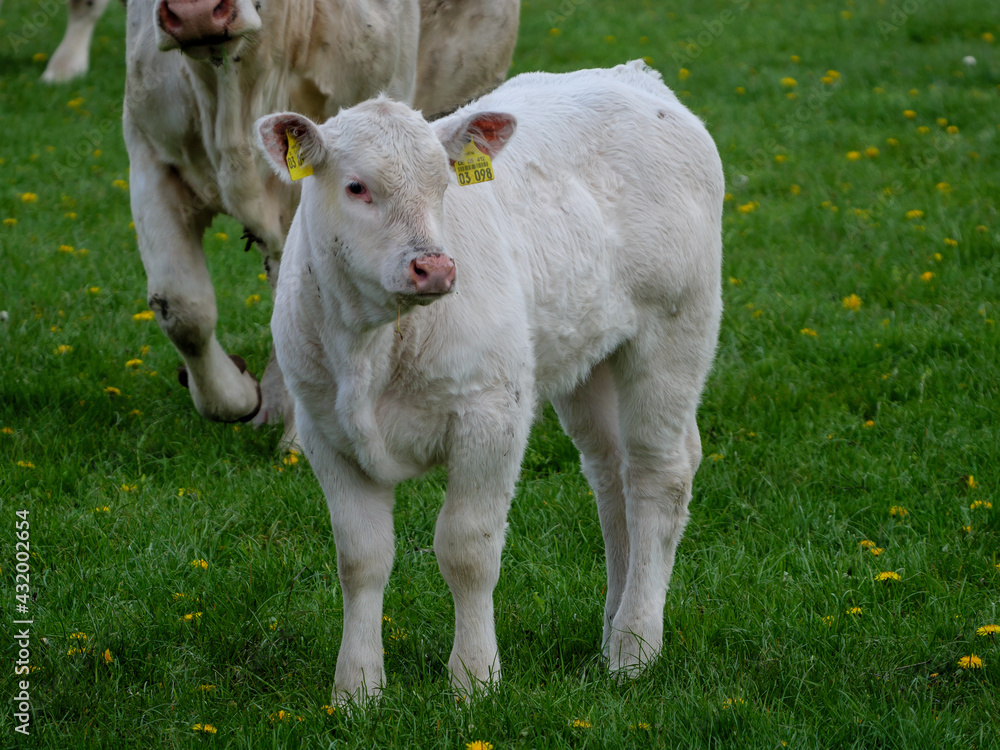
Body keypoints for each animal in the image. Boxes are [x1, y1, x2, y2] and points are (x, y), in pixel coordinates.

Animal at [254, 60, 724, 704]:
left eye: (444, 186)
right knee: (612, 476)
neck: (373, 349)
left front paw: (474, 680)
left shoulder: (492, 414)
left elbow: (467, 550)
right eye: (356, 187)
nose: (434, 267)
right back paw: (611, 628)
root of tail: (636, 78)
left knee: (660, 475)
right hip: (588, 356)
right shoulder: (325, 431)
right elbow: (360, 558)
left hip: (675, 330)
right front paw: (357, 690)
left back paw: (633, 648)